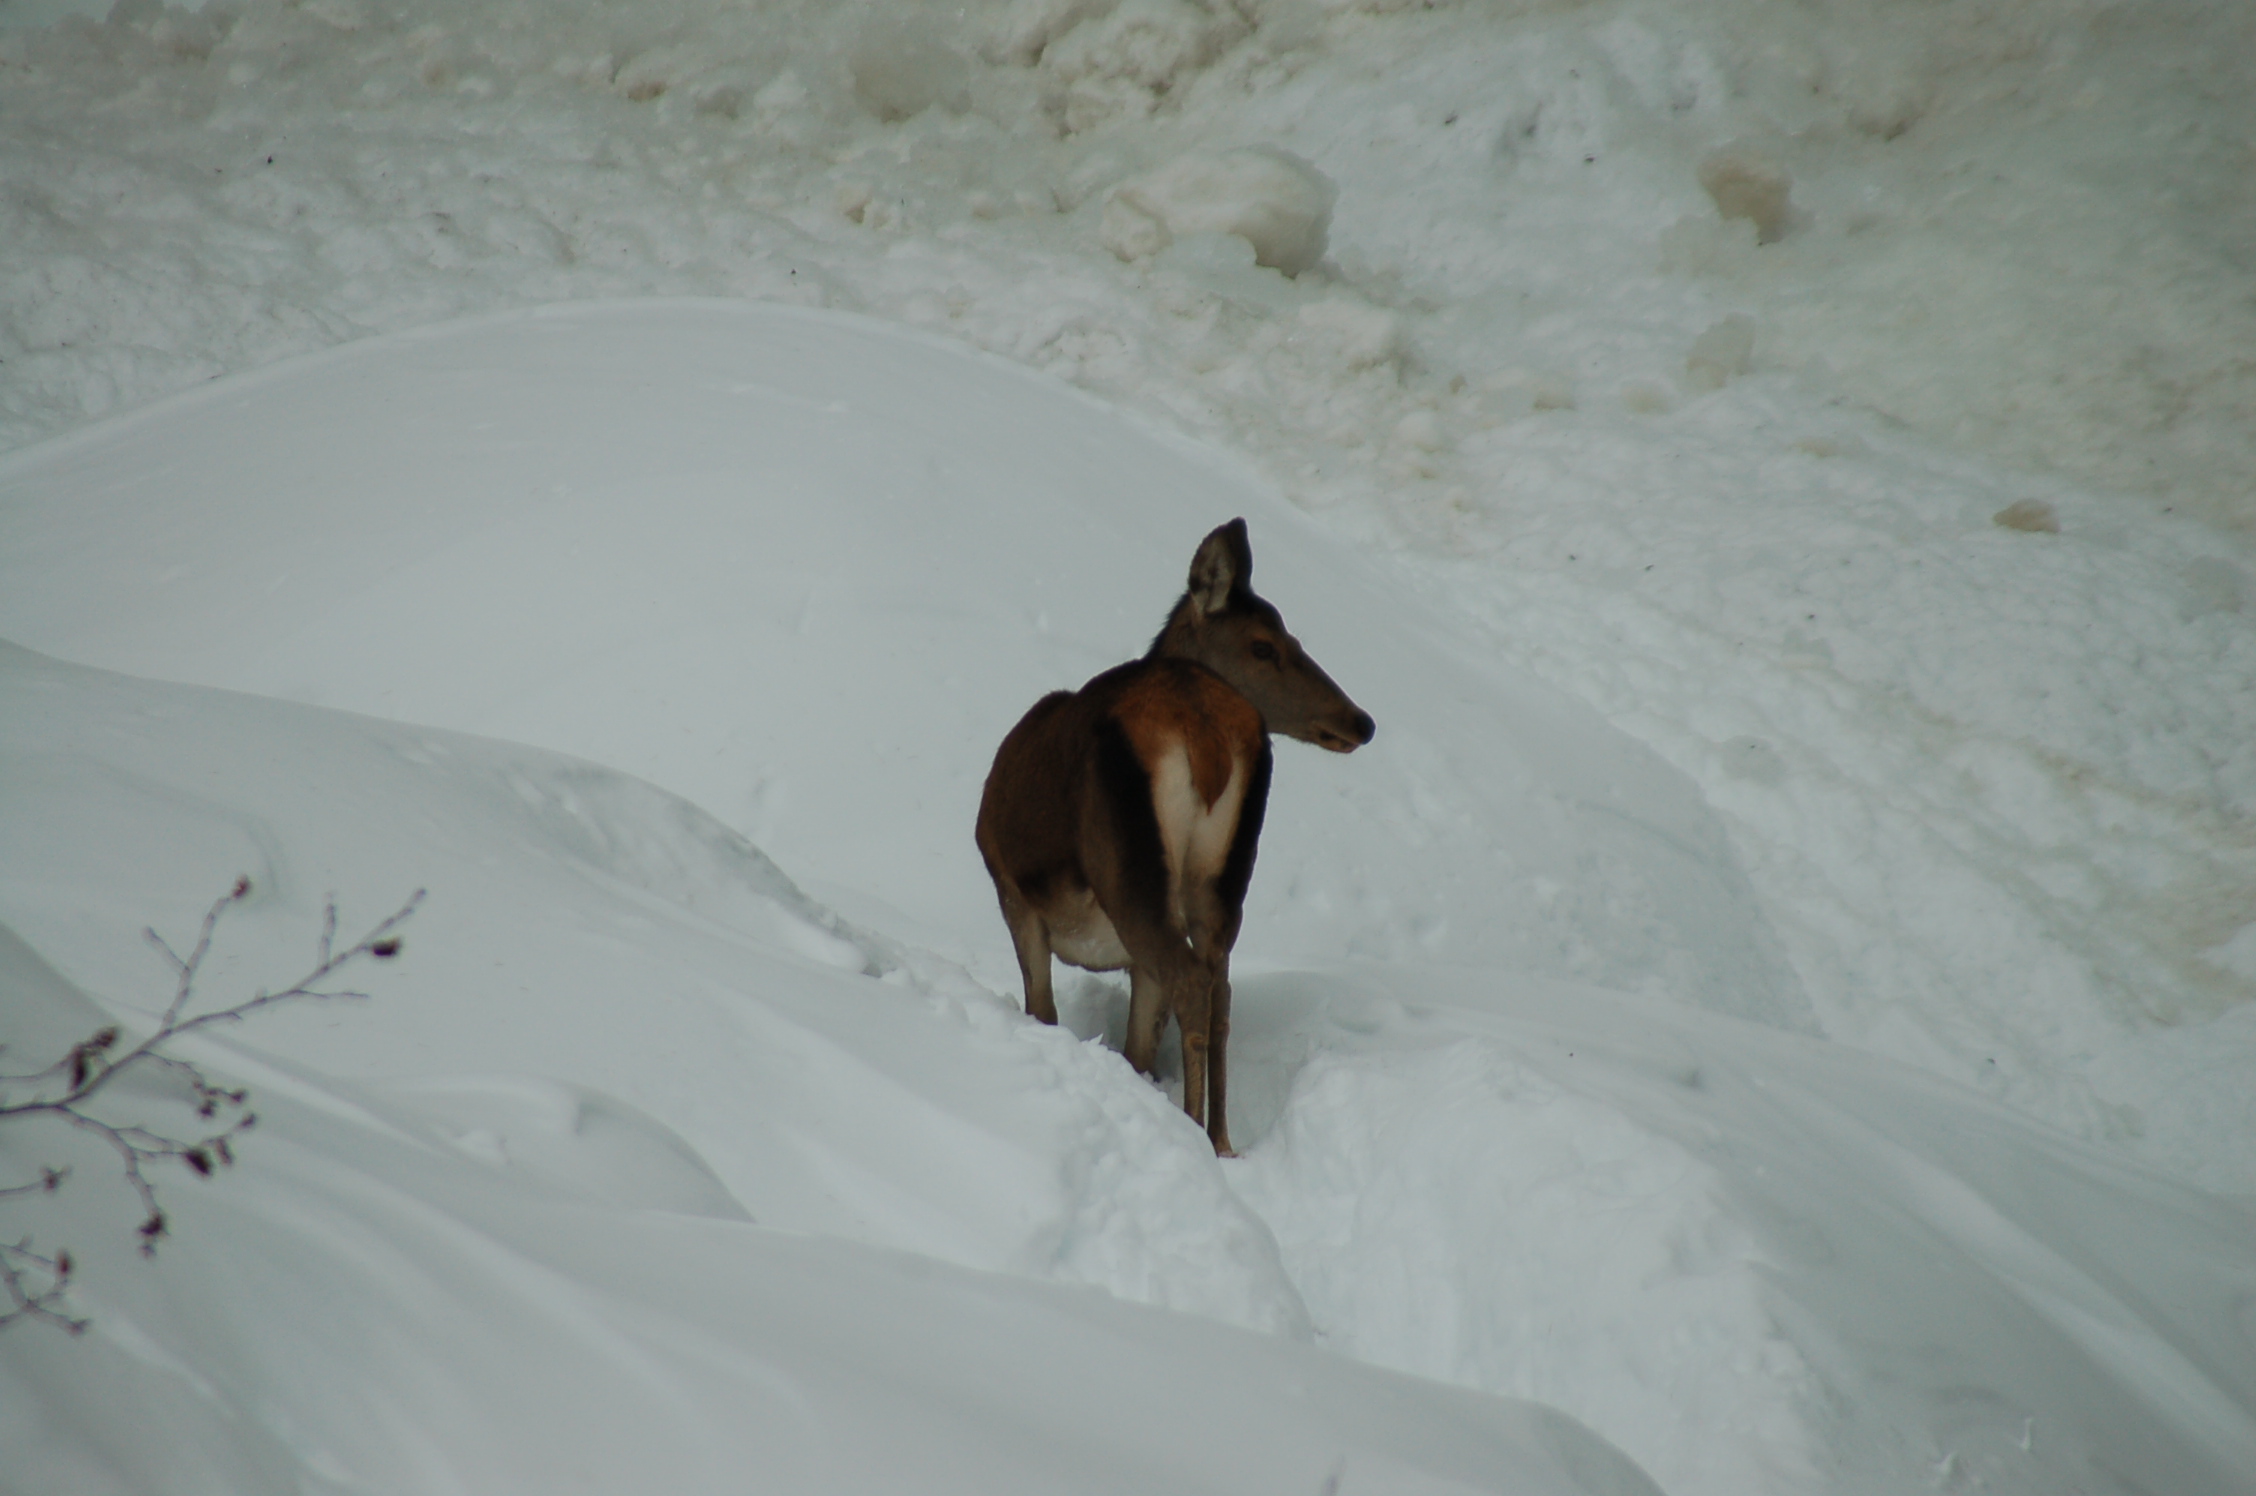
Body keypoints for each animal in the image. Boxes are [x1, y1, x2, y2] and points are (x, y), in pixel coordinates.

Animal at [975, 519, 1374, 1156]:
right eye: (1266, 644)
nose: (1361, 720)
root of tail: (1203, 731)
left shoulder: (1012, 889)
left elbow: (1045, 1009)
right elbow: (1140, 1047)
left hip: (1126, 869)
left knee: (1191, 979)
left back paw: (1195, 1134)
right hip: (1222, 883)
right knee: (1219, 991)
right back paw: (1222, 1140)